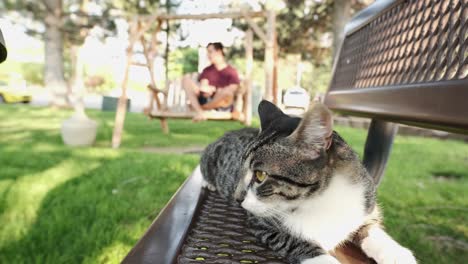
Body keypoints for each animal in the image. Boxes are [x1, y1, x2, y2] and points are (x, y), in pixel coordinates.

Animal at [200, 100, 416, 264]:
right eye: (239, 170)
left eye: (260, 175)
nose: (237, 198)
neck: (320, 200)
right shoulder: (261, 223)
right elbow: (294, 241)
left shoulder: (363, 204)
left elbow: (370, 228)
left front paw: (396, 253)